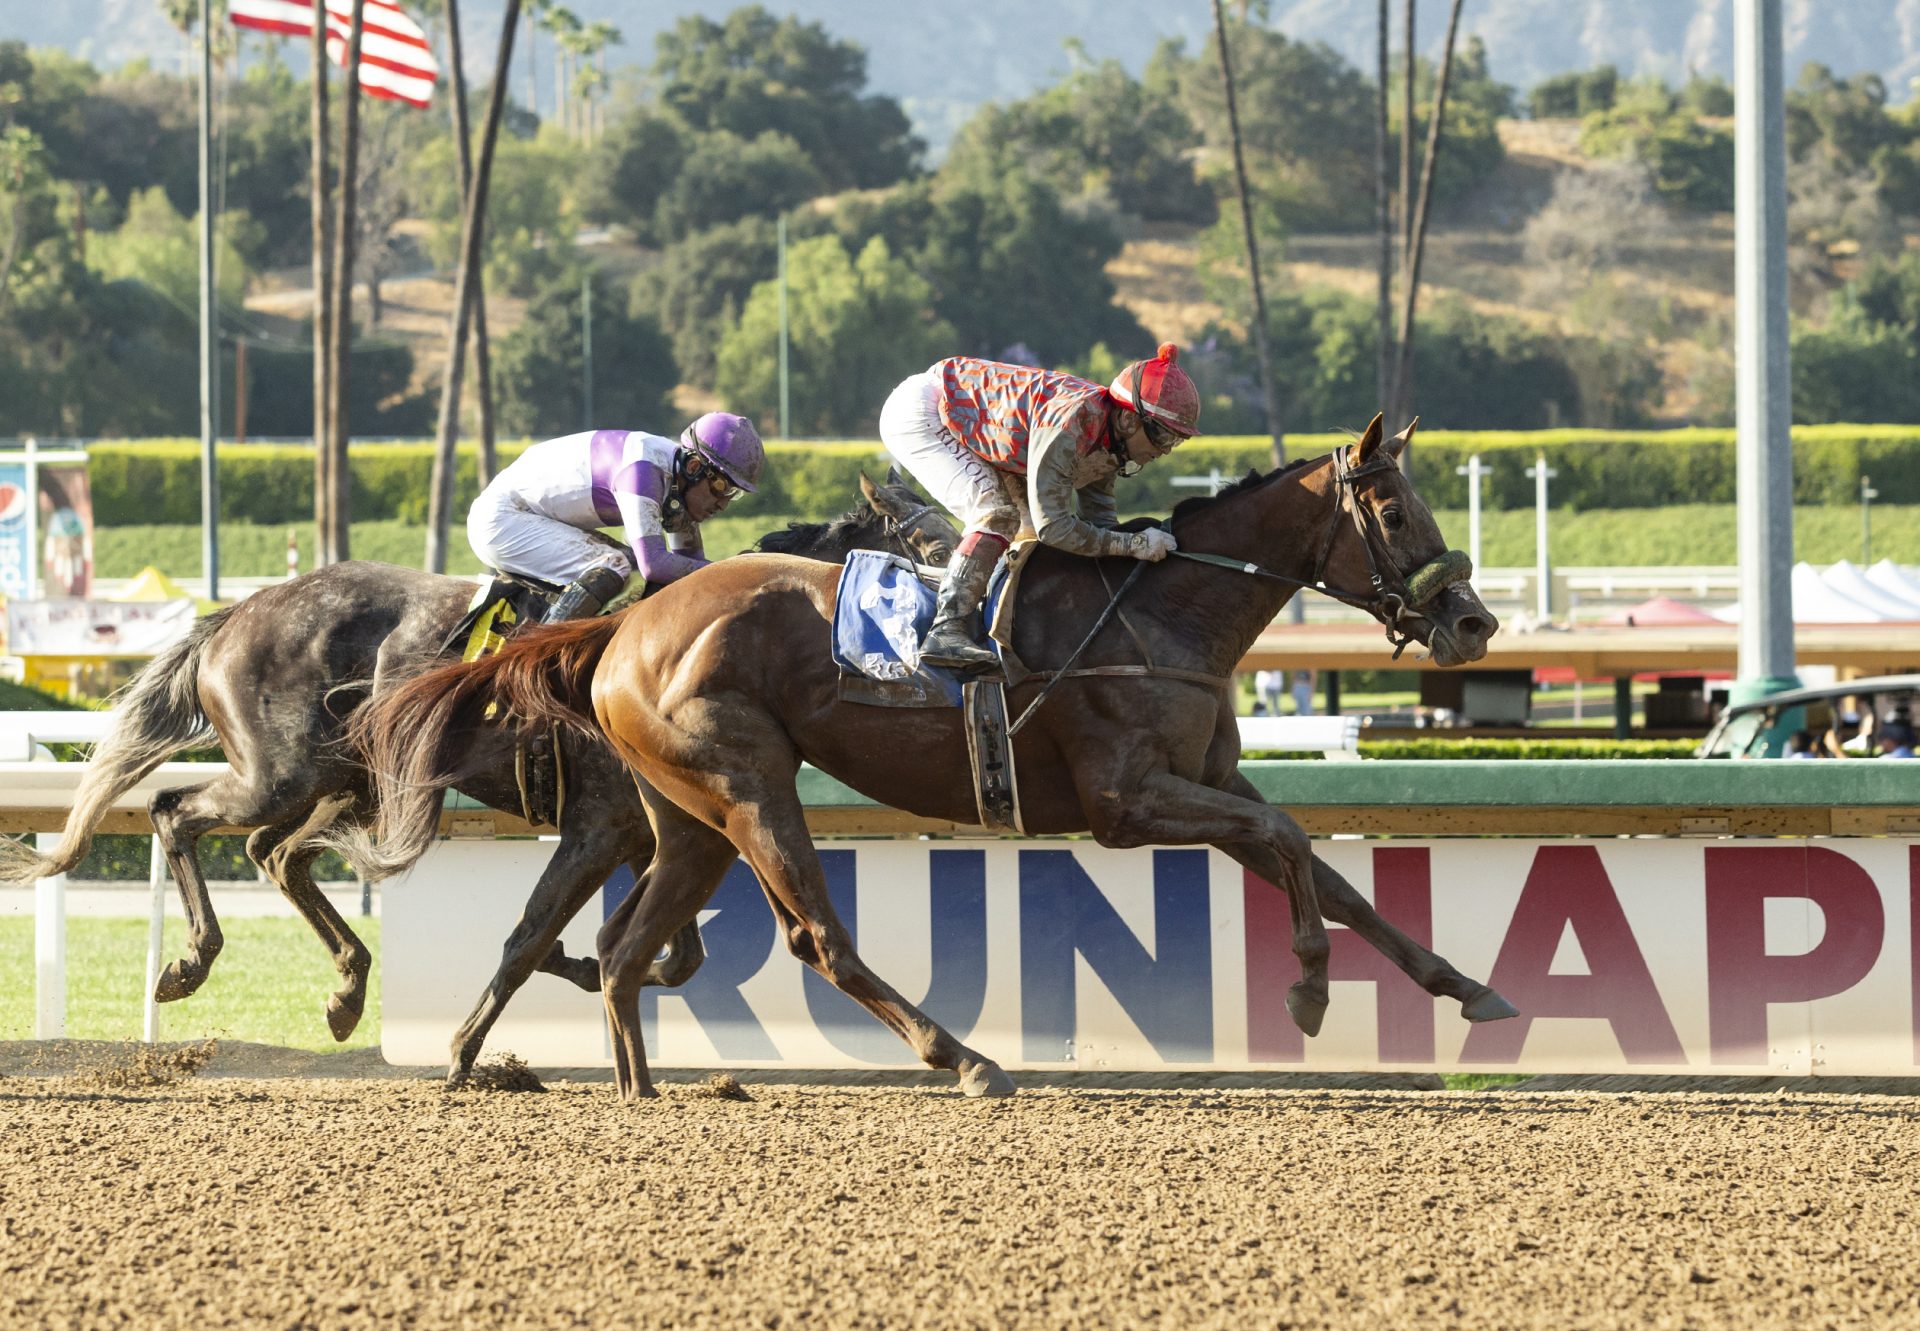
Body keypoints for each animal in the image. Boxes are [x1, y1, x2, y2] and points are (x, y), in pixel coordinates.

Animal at [0, 472, 960, 1083]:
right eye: (927, 537)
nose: (963, 629)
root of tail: (238, 611)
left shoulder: (659, 825)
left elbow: (675, 952)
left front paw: (586, 970)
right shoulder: (602, 823)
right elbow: (536, 935)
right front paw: (468, 1049)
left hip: (342, 779)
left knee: (276, 853)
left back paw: (347, 987)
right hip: (282, 770)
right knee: (180, 813)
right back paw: (192, 962)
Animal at [345, 418, 1512, 1098]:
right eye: (1394, 507)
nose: (1473, 622)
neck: (1164, 613)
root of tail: (625, 625)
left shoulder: (1210, 779)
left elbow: (1324, 868)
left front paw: (1466, 987)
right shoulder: (1129, 800)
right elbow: (1287, 840)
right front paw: (1310, 989)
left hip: (685, 816)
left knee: (624, 944)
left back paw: (639, 1091)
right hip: (749, 788)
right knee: (814, 937)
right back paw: (970, 1058)